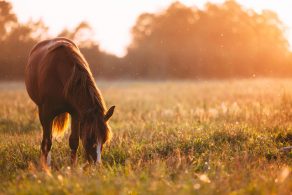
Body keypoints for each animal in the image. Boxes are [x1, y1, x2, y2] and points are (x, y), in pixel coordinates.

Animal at [25, 37, 114, 166]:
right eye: (89, 138)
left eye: (104, 139)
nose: (97, 164)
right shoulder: (46, 113)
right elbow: (47, 142)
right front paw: (45, 167)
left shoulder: (76, 113)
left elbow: (74, 141)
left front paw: (72, 166)